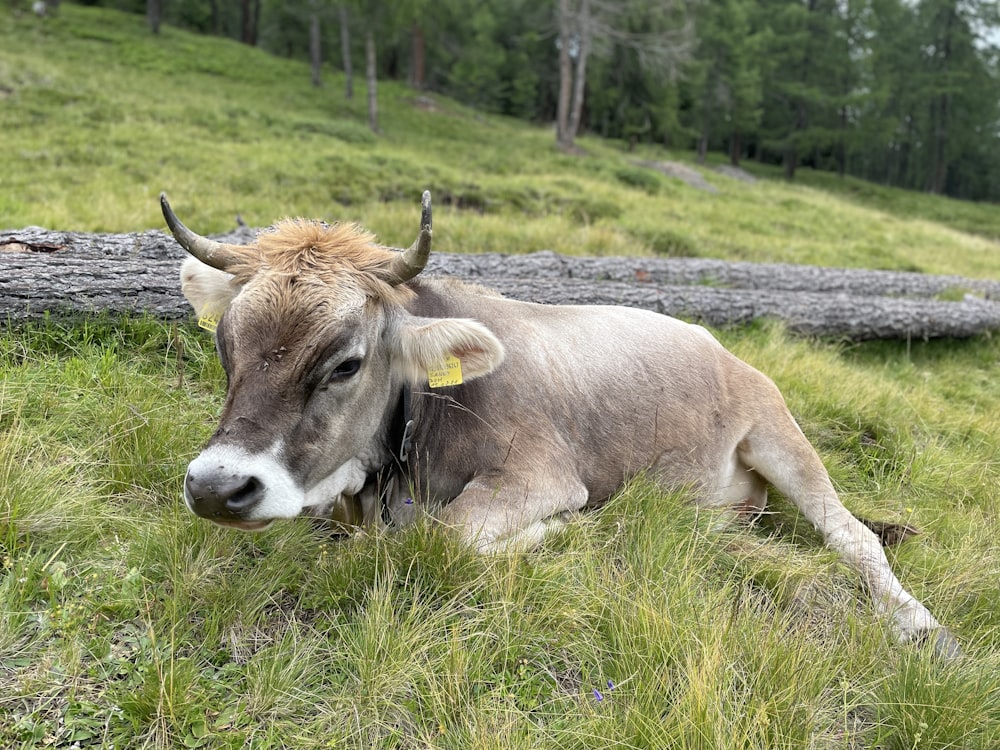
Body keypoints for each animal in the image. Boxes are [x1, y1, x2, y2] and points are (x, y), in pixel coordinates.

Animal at [162, 192, 960, 656]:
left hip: (779, 432)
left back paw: (918, 624)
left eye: (347, 363)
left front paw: (564, 533)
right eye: (225, 343)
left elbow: (450, 536)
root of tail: (719, 344)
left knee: (852, 536)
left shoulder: (540, 474)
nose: (217, 487)